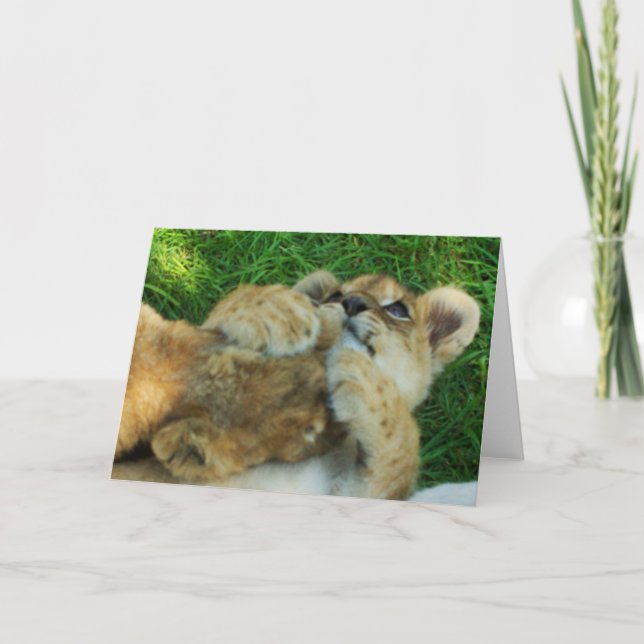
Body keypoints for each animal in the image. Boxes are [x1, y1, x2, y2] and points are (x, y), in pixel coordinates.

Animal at [112, 271, 480, 500]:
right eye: (335, 295)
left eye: (398, 309)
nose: (351, 303)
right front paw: (280, 308)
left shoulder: (359, 492)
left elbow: (399, 451)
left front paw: (361, 371)